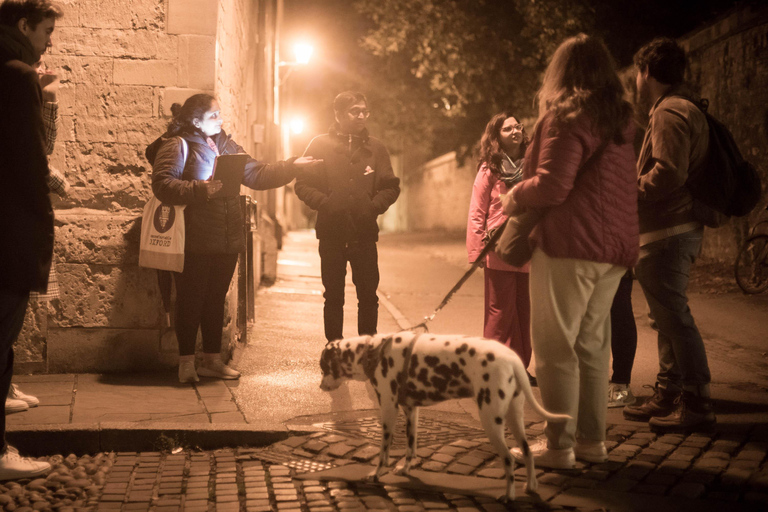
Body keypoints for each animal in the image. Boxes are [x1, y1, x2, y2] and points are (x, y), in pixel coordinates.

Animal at [318, 330, 568, 502]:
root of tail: (512, 359)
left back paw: (509, 495)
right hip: (514, 418)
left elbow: (383, 452)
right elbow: (411, 447)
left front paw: (376, 474)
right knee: (527, 453)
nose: (320, 386)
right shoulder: (411, 410)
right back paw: (531, 486)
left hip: (491, 421)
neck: (374, 352)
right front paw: (405, 469)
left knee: (509, 459)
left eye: (323, 367)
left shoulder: (389, 409)